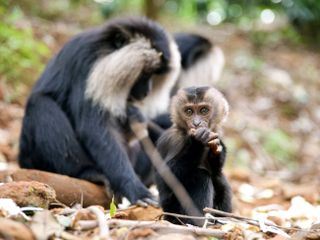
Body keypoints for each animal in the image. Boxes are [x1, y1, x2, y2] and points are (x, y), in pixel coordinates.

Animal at [18, 16, 181, 204]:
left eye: (154, 76)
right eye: (144, 73)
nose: (146, 92)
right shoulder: (88, 66)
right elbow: (96, 128)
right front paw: (134, 188)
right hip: (32, 158)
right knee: (41, 105)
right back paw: (87, 173)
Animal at [156, 86, 232, 225]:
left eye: (204, 110)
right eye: (189, 111)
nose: (196, 123)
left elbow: (216, 170)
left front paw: (218, 148)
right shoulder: (173, 139)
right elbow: (165, 177)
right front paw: (197, 142)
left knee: (219, 178)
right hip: (173, 211)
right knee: (200, 175)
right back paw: (196, 222)